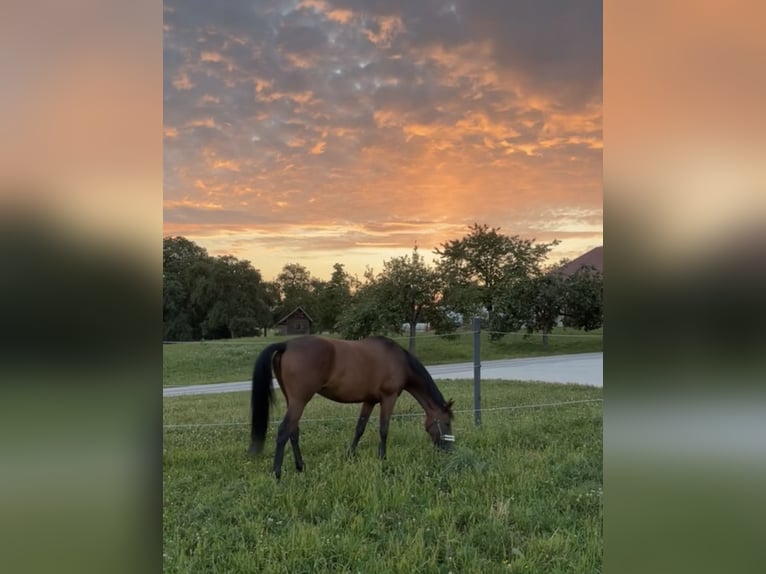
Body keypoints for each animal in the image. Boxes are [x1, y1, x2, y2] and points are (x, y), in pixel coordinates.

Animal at [248, 335, 455, 479]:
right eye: (446, 423)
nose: (449, 450)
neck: (399, 361)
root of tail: (286, 345)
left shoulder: (370, 401)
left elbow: (360, 428)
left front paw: (350, 455)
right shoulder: (388, 398)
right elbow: (384, 429)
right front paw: (382, 458)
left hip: (293, 401)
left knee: (293, 431)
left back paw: (300, 466)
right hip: (299, 401)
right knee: (284, 430)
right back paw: (277, 473)